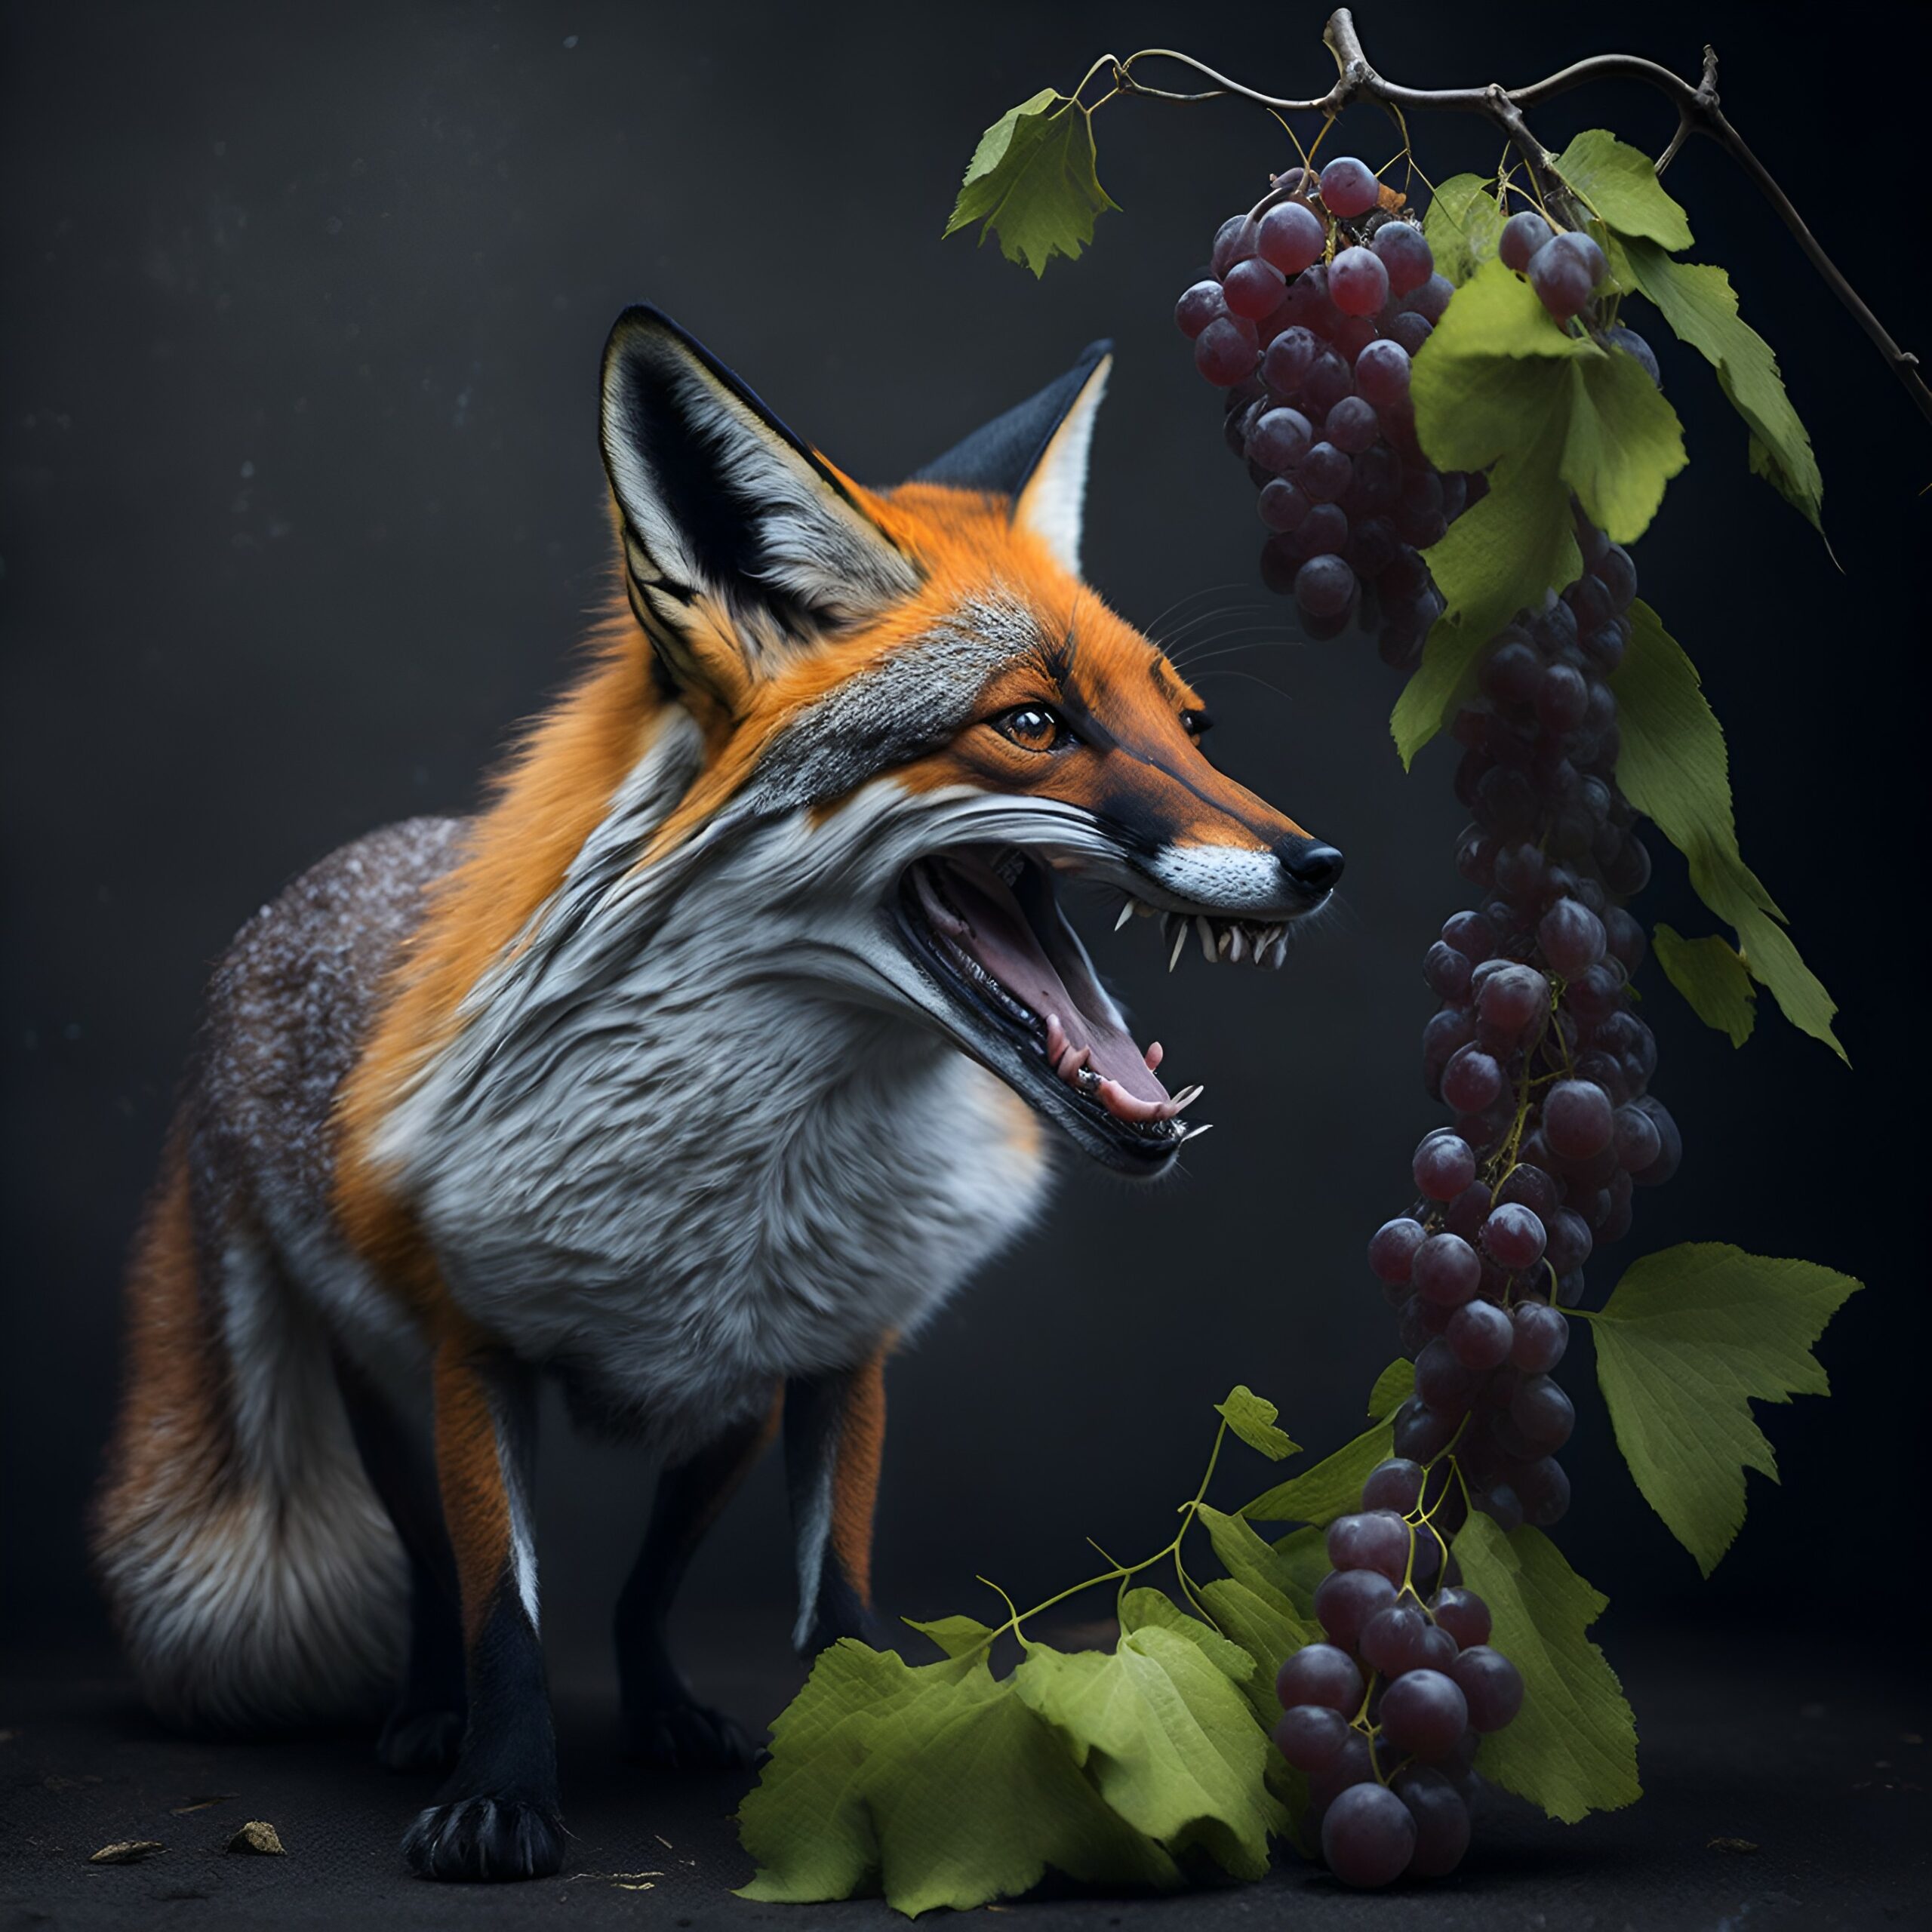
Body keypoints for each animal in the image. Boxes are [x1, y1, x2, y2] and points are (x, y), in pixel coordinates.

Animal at [91, 305, 1345, 1882]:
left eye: (1192, 723)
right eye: (1033, 724)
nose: (1321, 865)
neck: (737, 1177)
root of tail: (319, 880)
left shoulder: (836, 1354)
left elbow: (837, 1610)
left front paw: (882, 1763)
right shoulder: (469, 1360)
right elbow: (506, 1615)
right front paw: (504, 1796)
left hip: (725, 1409)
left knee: (643, 1591)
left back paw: (667, 1712)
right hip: (378, 1383)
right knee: (436, 1582)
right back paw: (428, 1718)